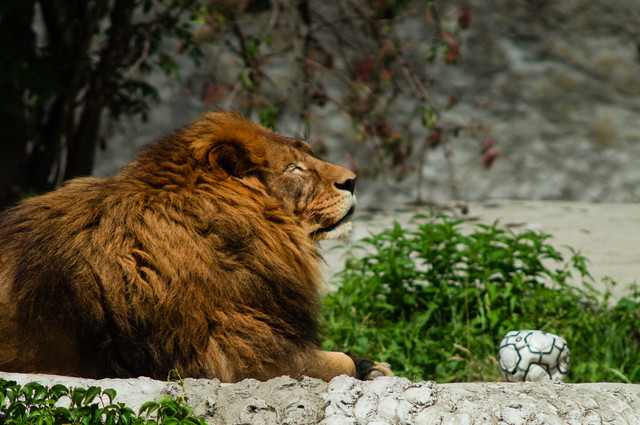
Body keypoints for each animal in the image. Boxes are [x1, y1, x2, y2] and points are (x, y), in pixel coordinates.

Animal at [0, 109, 390, 380]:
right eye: (294, 168)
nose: (353, 181)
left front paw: (372, 366)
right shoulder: (241, 352)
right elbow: (339, 362)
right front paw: (366, 367)